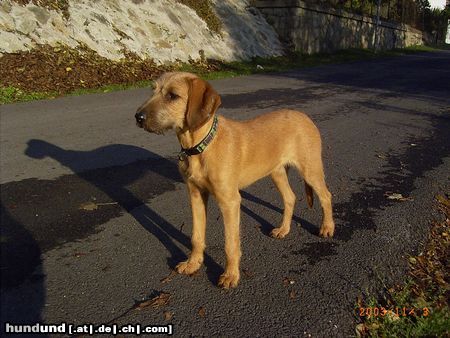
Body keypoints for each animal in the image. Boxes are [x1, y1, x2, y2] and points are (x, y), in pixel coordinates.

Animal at [134, 71, 334, 288]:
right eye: (152, 90)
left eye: (172, 96)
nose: (138, 117)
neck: (202, 145)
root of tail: (304, 116)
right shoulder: (196, 195)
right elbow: (196, 235)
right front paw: (193, 263)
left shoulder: (229, 202)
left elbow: (230, 243)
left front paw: (230, 275)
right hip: (277, 172)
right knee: (290, 197)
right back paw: (283, 229)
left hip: (310, 170)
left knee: (326, 195)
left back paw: (327, 227)